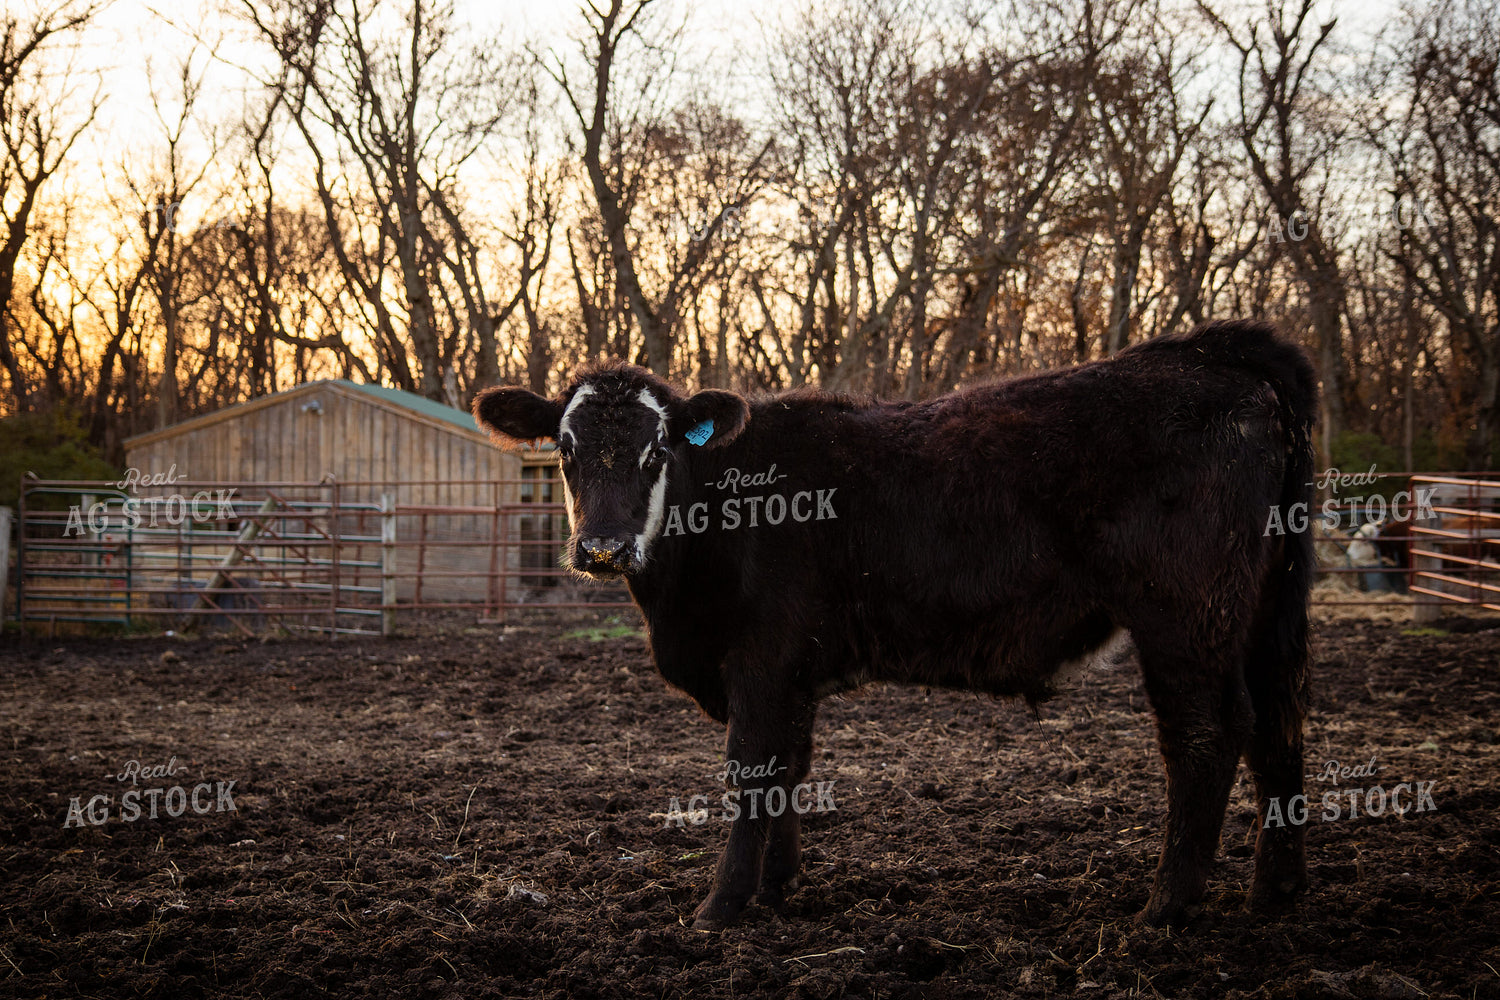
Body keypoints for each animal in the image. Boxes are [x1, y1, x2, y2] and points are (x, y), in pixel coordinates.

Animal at [473, 319, 1318, 930]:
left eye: (655, 451)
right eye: (566, 449)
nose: (601, 547)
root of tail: (1210, 351)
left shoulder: (762, 659)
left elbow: (752, 770)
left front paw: (721, 905)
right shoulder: (792, 672)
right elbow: (788, 769)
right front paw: (777, 887)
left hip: (1184, 614)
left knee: (1208, 736)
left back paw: (1167, 905)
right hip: (1264, 611)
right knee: (1280, 728)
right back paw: (1274, 895)